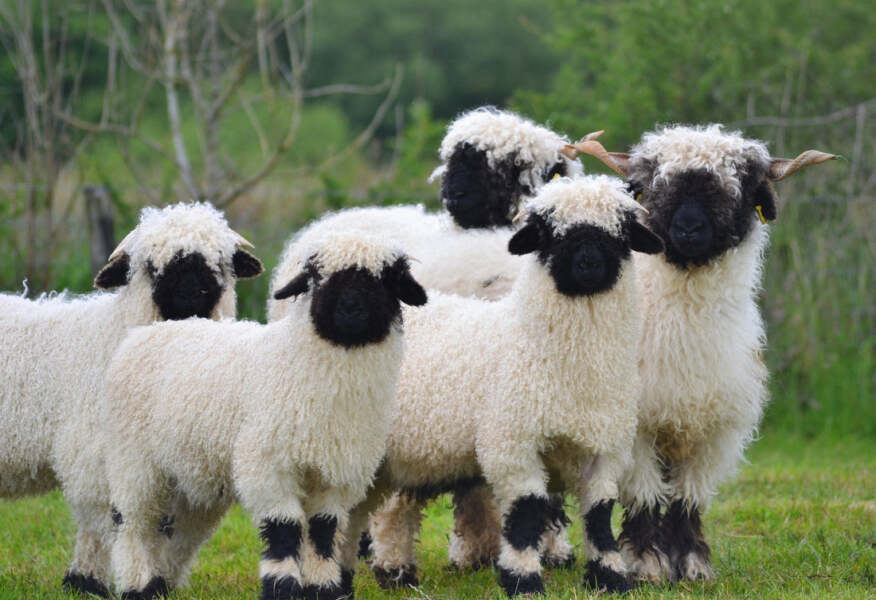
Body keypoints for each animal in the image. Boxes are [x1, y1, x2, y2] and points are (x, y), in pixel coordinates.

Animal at [0, 202, 262, 598]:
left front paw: (156, 580)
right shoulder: (94, 456)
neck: (114, 336)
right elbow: (111, 523)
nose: (192, 296)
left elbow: (179, 533)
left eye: (220, 263)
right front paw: (98, 581)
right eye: (151, 267)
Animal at [100, 230, 427, 600]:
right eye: (316, 277)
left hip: (185, 469)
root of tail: (150, 330)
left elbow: (323, 531)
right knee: (132, 522)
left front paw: (322, 587)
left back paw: (159, 584)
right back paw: (138, 584)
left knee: (167, 527)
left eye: (385, 279)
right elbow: (284, 528)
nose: (349, 309)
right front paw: (283, 587)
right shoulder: (269, 464)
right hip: (133, 458)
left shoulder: (337, 472)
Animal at [334, 176, 665, 597]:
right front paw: (524, 581)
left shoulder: (605, 449)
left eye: (619, 233)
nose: (589, 264)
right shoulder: (512, 442)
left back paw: (381, 575)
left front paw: (610, 577)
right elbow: (526, 512)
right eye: (549, 233)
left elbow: (600, 514)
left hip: (405, 453)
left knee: (378, 510)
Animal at [565, 124, 837, 581]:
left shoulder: (713, 429)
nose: (688, 228)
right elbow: (645, 495)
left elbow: (686, 498)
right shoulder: (636, 427)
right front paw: (646, 563)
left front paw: (691, 563)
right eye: (650, 186)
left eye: (739, 186)